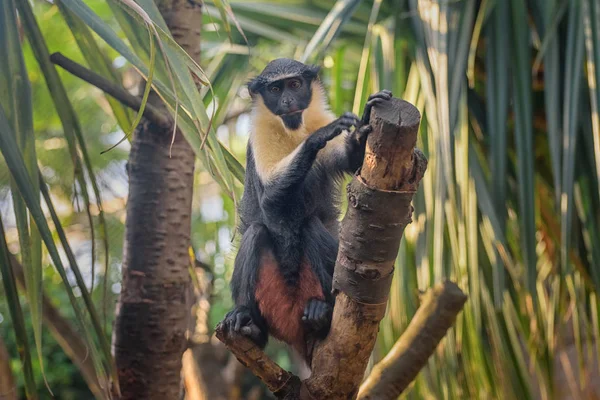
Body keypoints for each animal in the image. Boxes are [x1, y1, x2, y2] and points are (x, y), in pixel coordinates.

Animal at [223, 58, 392, 366]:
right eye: (275, 89)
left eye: (294, 84)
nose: (288, 101)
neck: (293, 130)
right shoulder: (259, 135)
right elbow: (270, 199)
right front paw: (318, 138)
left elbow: (353, 162)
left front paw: (364, 122)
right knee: (256, 233)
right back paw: (250, 325)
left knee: (312, 225)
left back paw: (322, 315)